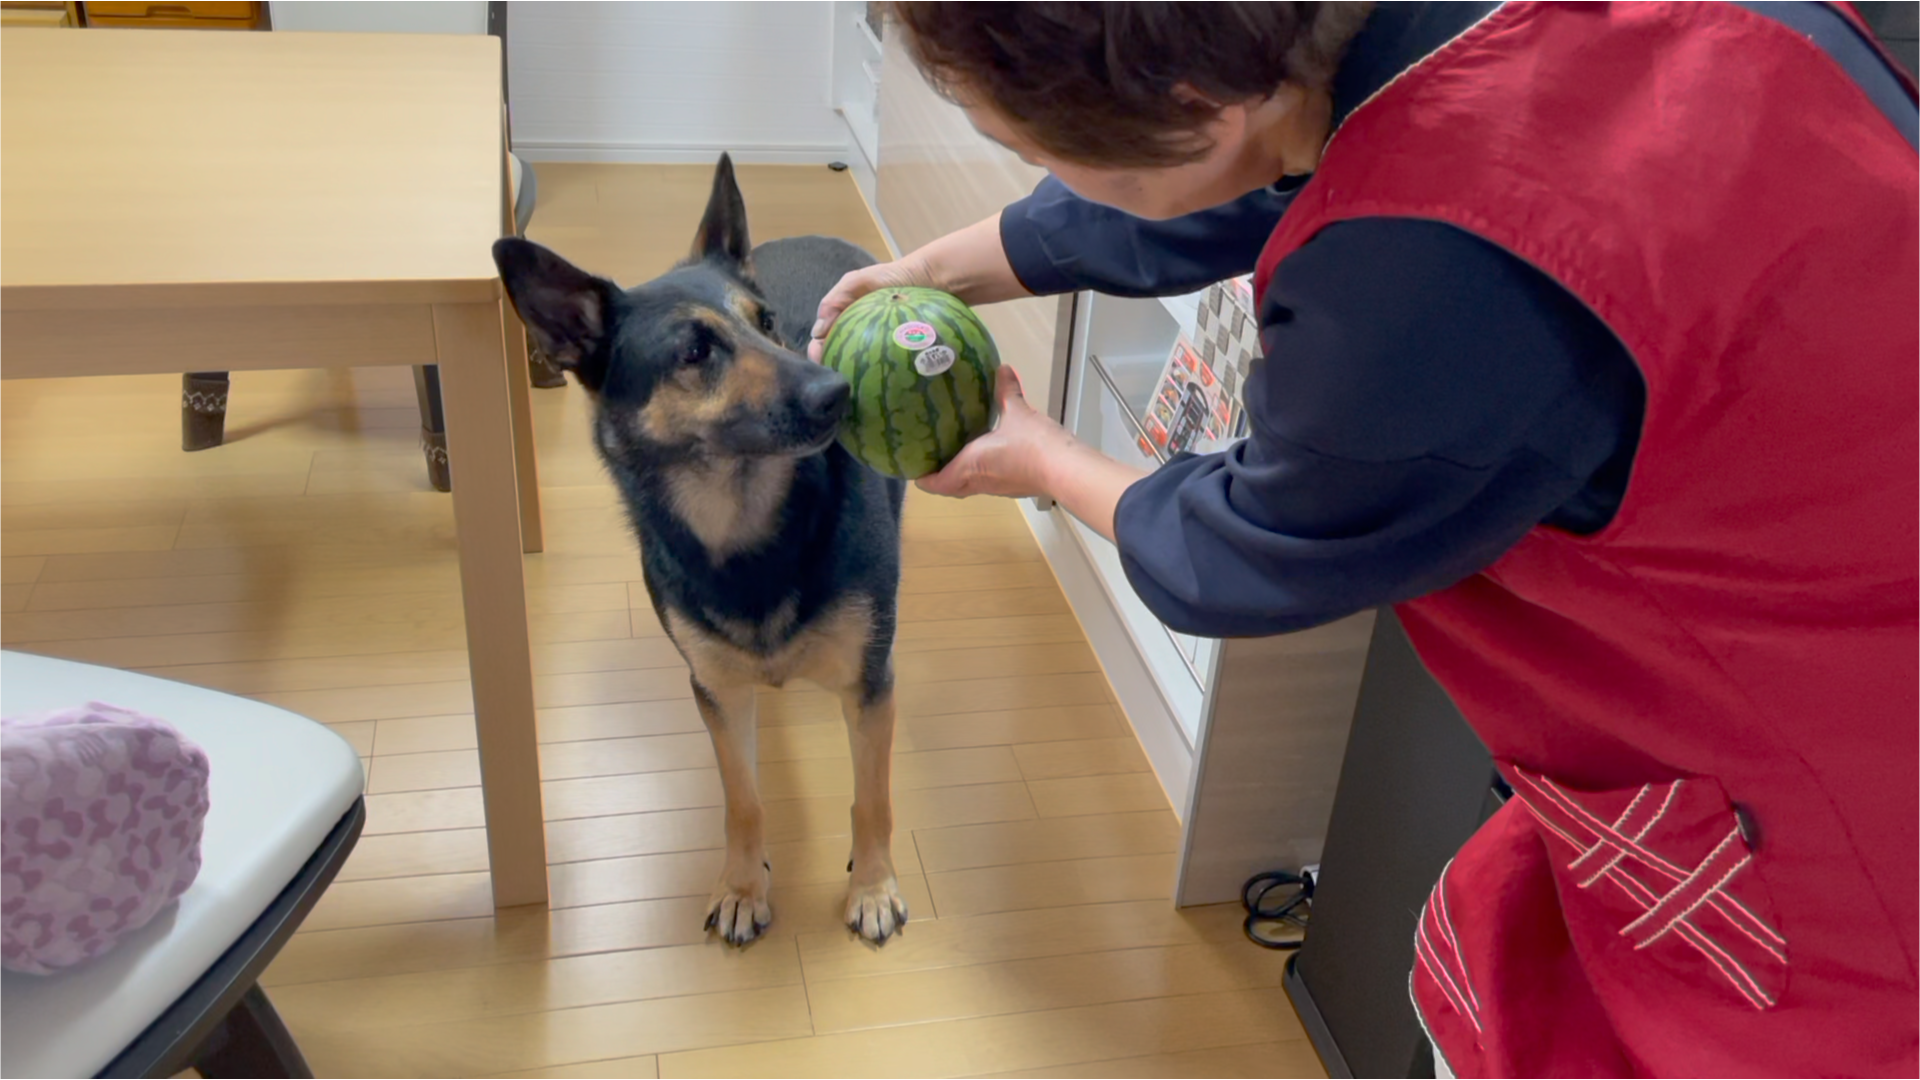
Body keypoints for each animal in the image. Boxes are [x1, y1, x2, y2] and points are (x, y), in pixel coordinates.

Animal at [492, 155, 910, 946]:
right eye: (693, 353)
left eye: (767, 324)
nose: (838, 391)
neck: (744, 525)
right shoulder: (716, 690)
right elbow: (742, 799)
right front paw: (744, 886)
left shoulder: (868, 689)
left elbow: (871, 796)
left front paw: (872, 885)